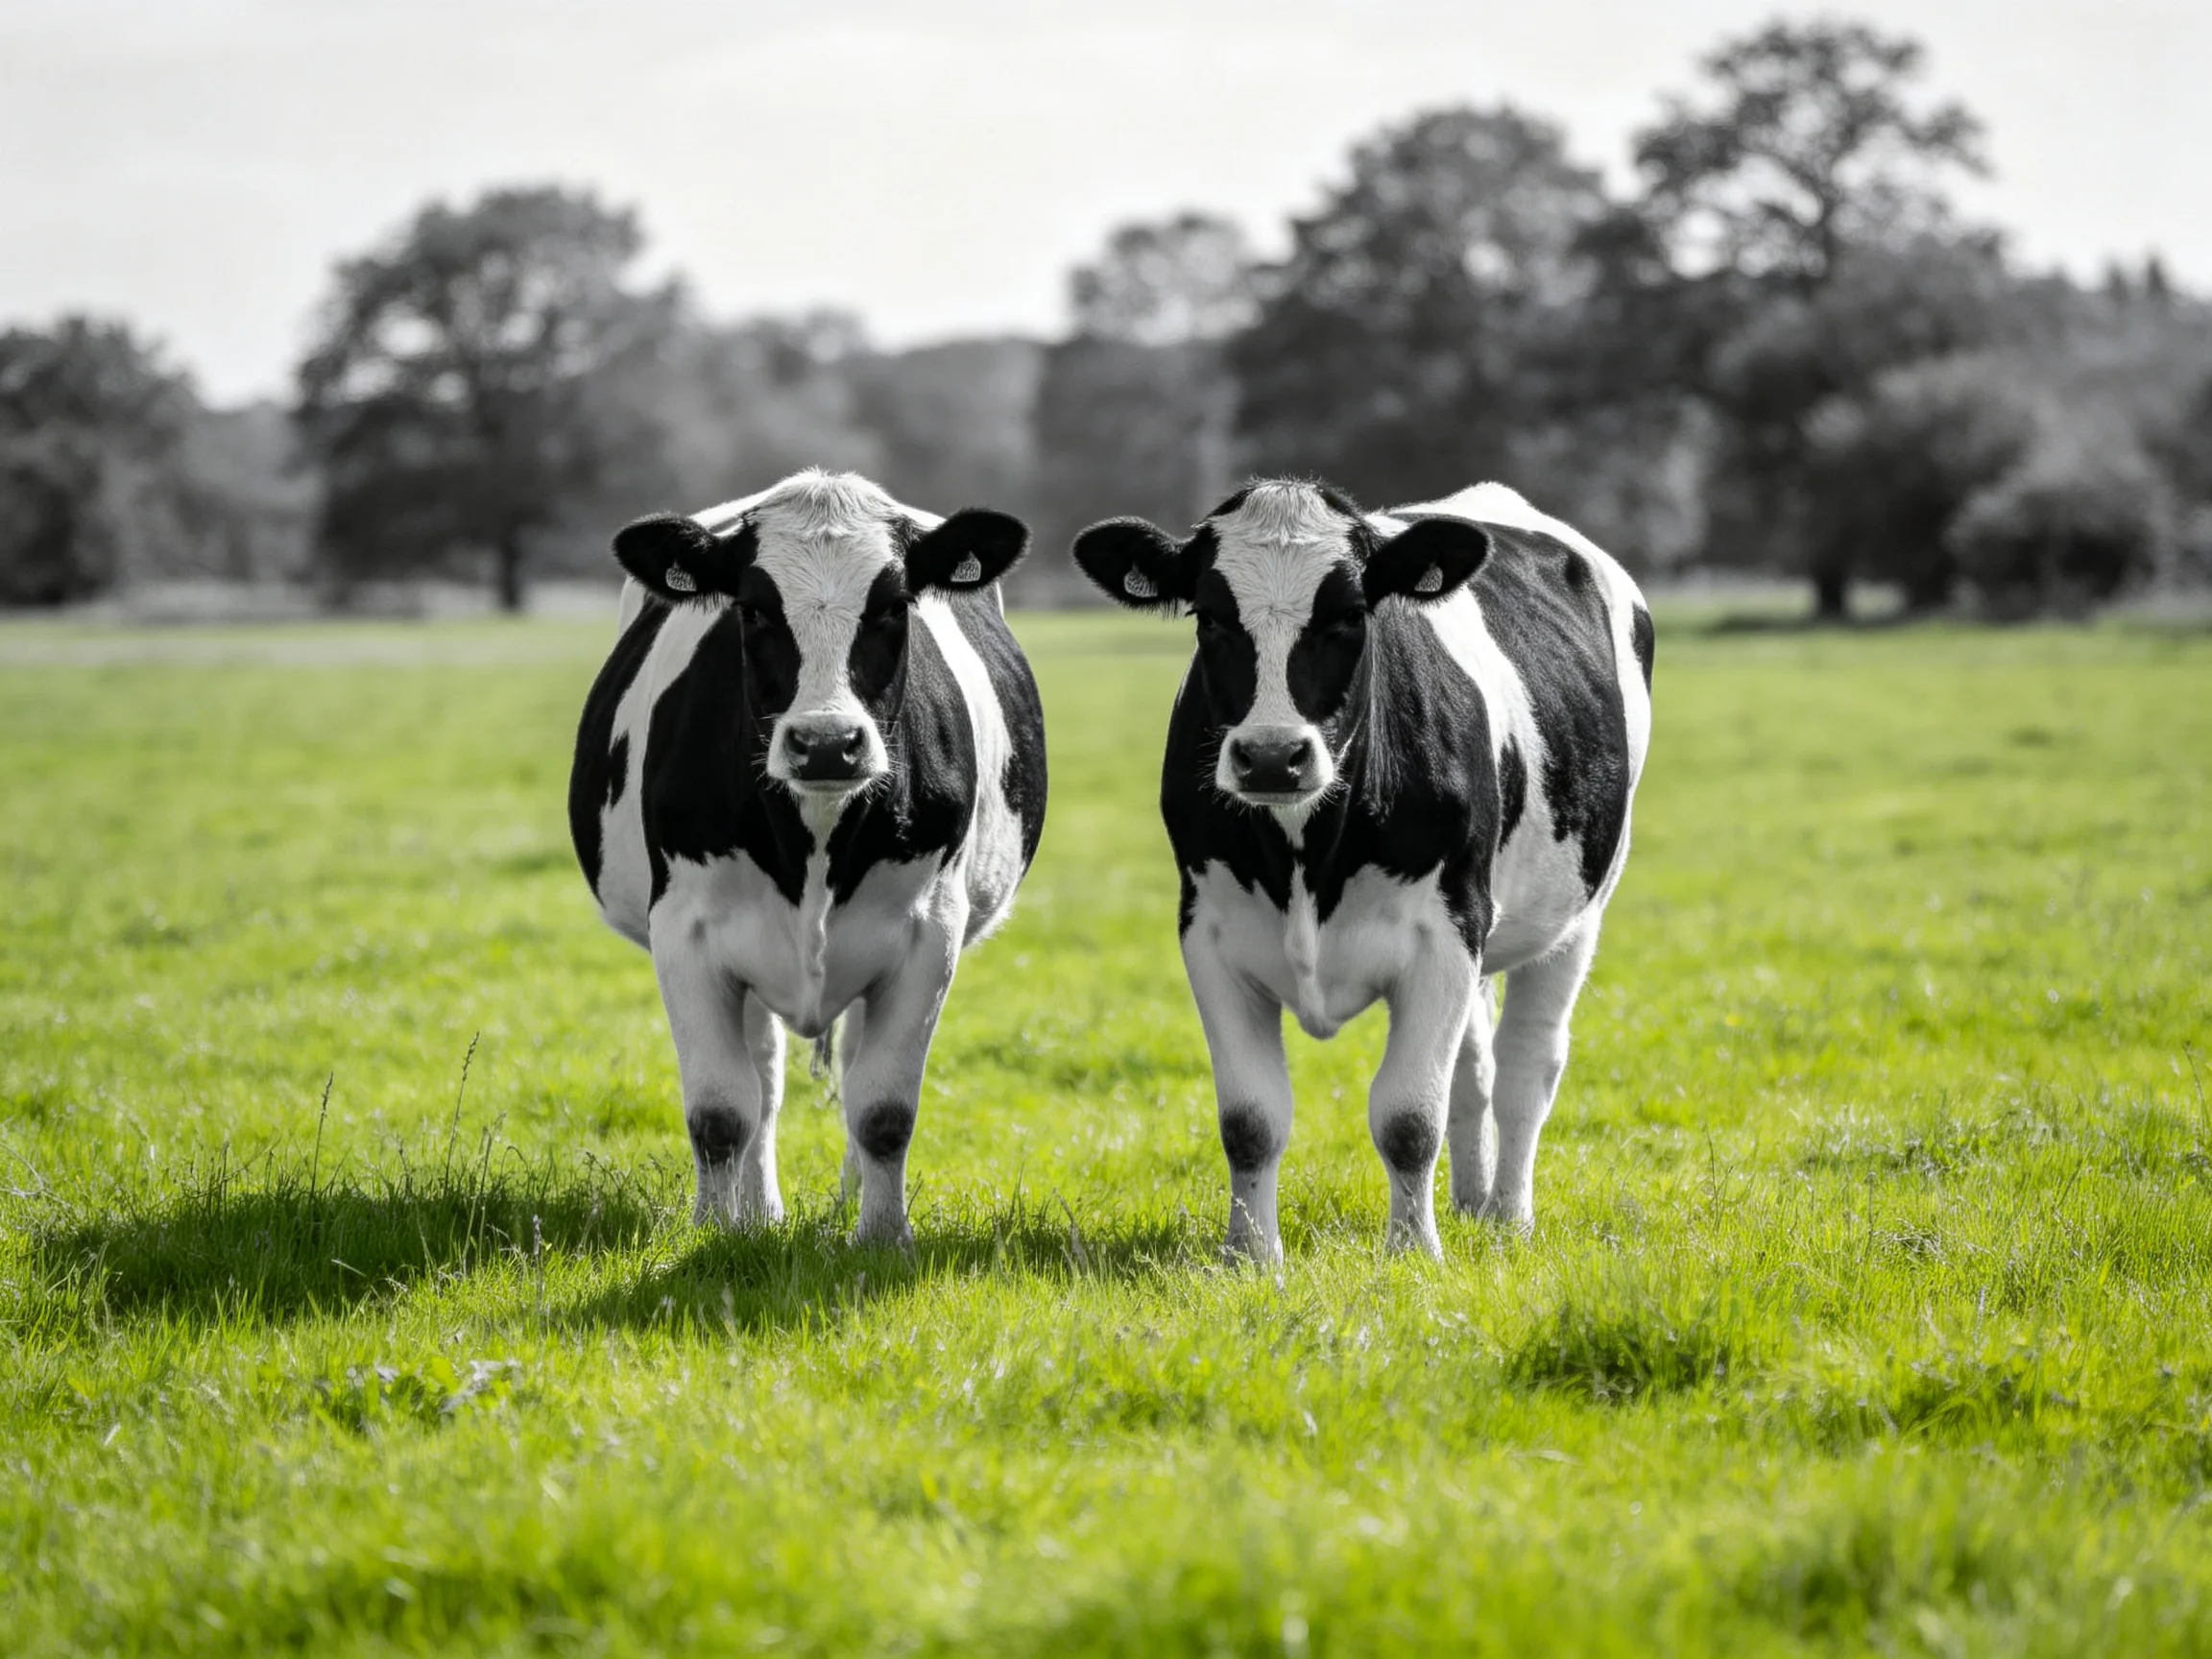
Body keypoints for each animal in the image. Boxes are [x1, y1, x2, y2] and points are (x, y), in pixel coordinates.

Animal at [569, 470, 1047, 1247]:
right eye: (755, 610)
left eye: (892, 606)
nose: (827, 744)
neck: (813, 838)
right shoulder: (686, 931)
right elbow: (721, 1110)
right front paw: (717, 1232)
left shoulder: (929, 932)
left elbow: (884, 1109)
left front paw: (883, 1239)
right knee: (763, 1081)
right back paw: (759, 1213)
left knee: (848, 1067)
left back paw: (847, 1201)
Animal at [1072, 479, 1652, 1261]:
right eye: (1208, 615)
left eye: (1349, 614)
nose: (1271, 756)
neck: (1306, 854)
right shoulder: (1209, 933)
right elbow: (1250, 1119)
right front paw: (1250, 1256)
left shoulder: (1446, 933)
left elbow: (1408, 1116)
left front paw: (1412, 1252)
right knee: (1474, 1070)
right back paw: (1471, 1202)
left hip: (1578, 913)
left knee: (1526, 1068)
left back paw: (1508, 1217)